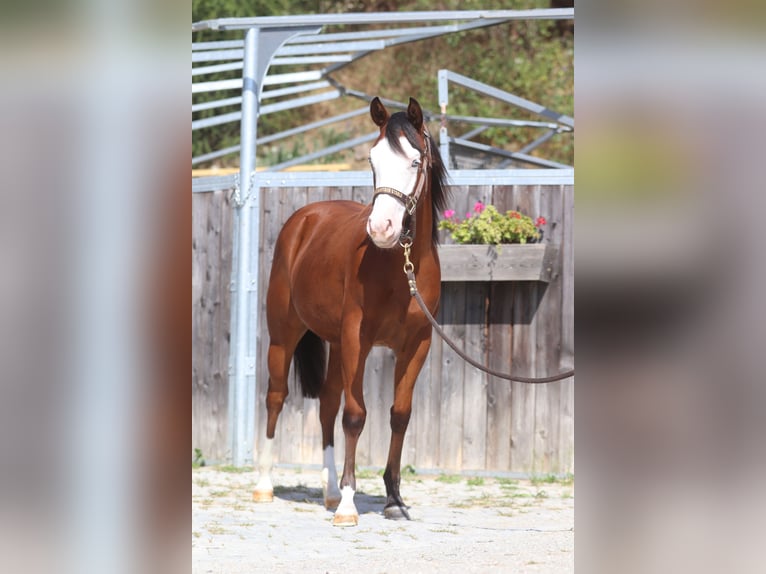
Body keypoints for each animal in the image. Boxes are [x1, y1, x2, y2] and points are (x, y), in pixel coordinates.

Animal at [254, 98, 450, 528]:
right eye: (373, 160)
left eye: (415, 161)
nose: (382, 228)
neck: (400, 266)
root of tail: (306, 219)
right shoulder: (356, 337)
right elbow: (356, 416)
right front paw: (348, 503)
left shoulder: (417, 344)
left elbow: (399, 414)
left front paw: (393, 499)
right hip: (284, 336)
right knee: (276, 397)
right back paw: (264, 485)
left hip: (335, 344)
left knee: (327, 404)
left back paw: (327, 491)